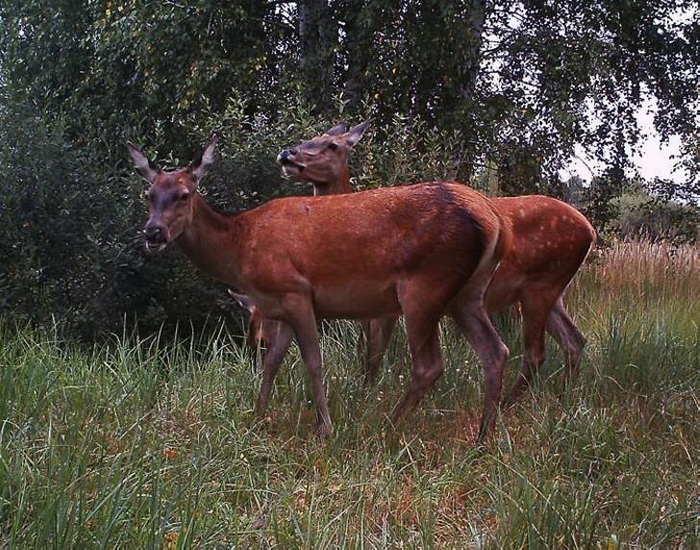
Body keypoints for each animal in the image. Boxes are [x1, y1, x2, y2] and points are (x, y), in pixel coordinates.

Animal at [127, 137, 508, 440]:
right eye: (149, 194)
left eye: (183, 194)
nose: (153, 232)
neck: (240, 247)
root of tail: (492, 219)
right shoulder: (277, 306)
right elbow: (272, 363)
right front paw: (256, 417)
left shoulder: (295, 290)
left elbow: (313, 360)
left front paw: (324, 427)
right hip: (467, 293)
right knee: (495, 351)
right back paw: (483, 437)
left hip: (424, 286)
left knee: (429, 364)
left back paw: (385, 427)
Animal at [242, 123, 596, 412]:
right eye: (312, 136)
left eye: (332, 145)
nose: (287, 153)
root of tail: (590, 231)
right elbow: (365, 353)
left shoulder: (385, 308)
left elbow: (374, 355)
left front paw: (366, 397)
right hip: (549, 292)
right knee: (574, 339)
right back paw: (565, 400)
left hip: (537, 286)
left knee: (536, 352)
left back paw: (512, 406)